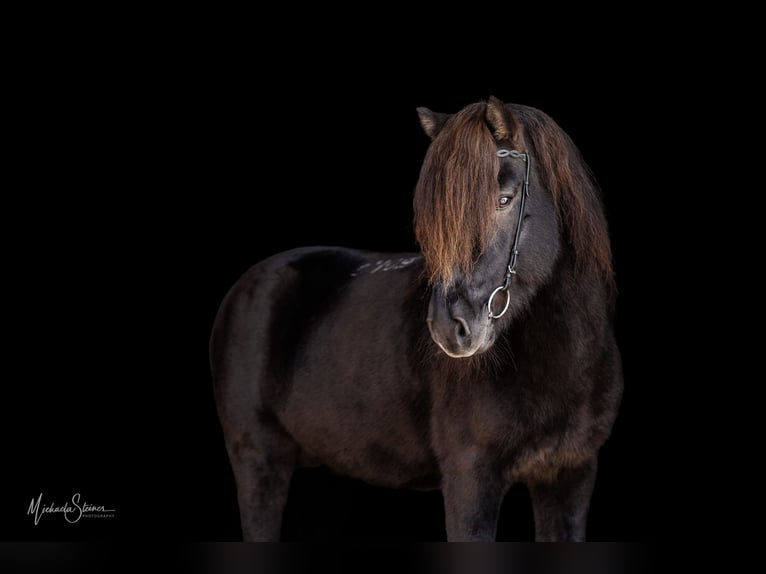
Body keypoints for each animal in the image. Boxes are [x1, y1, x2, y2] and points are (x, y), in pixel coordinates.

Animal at [210, 96, 623, 541]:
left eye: (504, 199)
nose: (449, 329)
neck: (565, 364)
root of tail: (245, 286)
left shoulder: (570, 477)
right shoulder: (471, 477)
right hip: (258, 460)